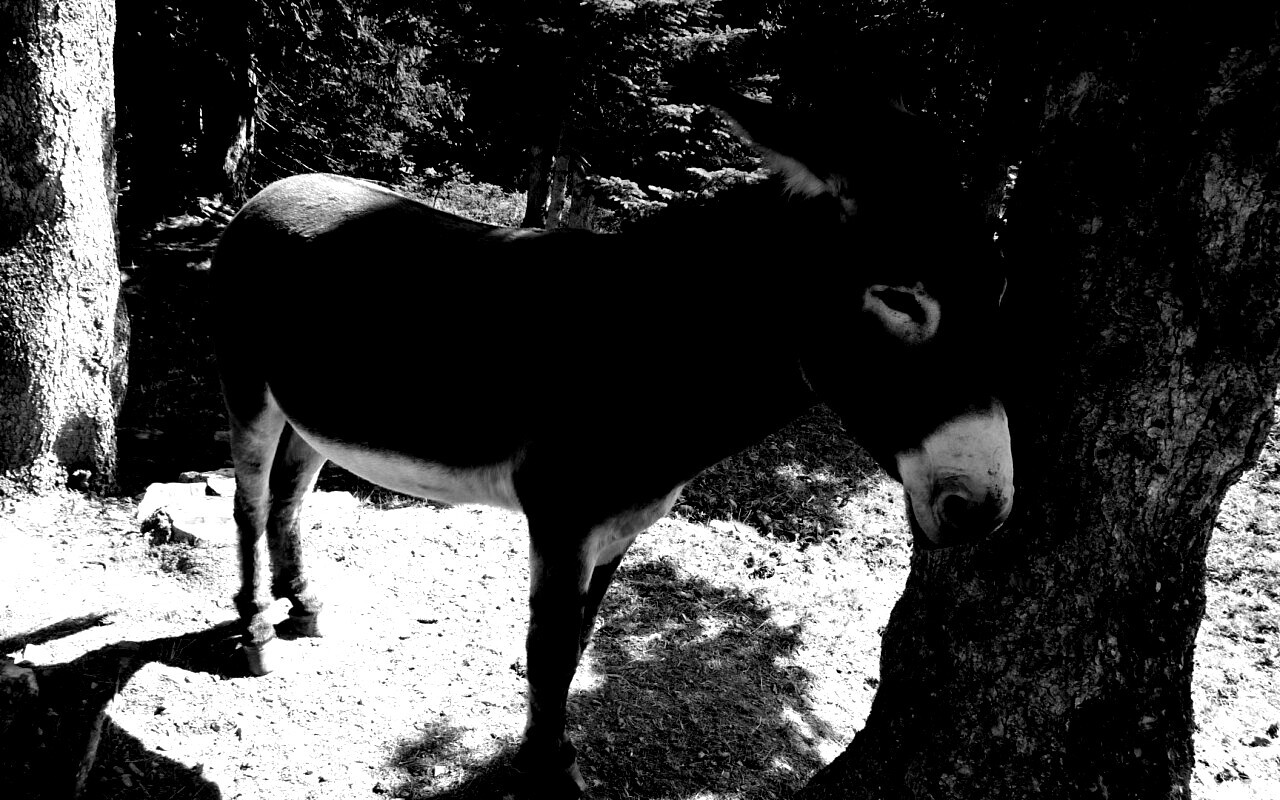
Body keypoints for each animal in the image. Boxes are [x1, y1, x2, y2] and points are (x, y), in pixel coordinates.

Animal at [211, 93, 1014, 796]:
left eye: (998, 296)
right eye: (900, 298)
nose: (984, 508)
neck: (651, 349)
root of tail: (272, 188)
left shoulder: (622, 526)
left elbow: (577, 647)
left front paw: (553, 759)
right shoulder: (562, 522)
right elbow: (548, 652)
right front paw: (544, 776)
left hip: (313, 411)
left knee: (290, 495)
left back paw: (303, 603)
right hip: (248, 389)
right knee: (249, 503)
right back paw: (254, 629)